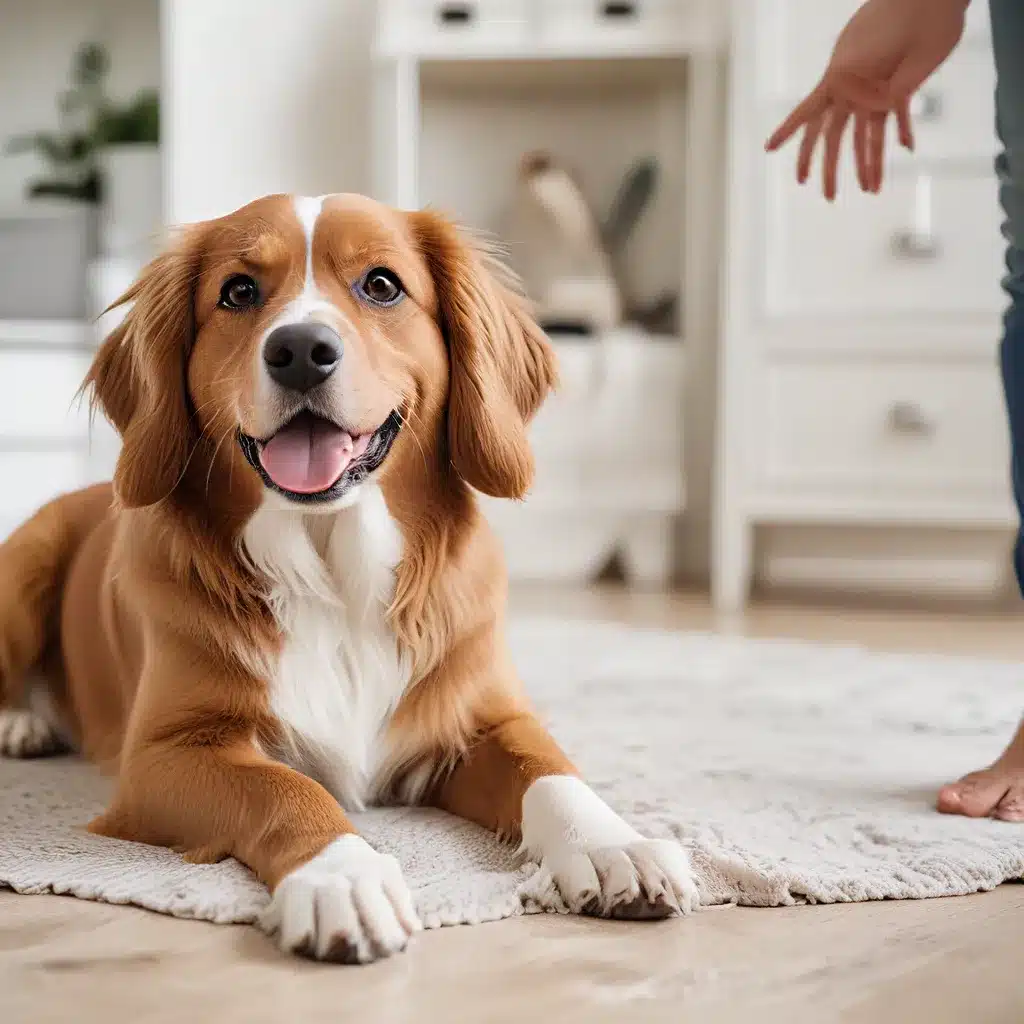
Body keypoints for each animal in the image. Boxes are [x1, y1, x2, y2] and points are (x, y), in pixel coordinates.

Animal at [0, 193, 696, 966]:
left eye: (382, 285)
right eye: (238, 292)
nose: (301, 350)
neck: (334, 575)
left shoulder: (486, 717)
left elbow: (550, 769)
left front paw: (610, 843)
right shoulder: (163, 755)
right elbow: (284, 789)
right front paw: (342, 876)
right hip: (28, 562)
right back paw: (22, 722)